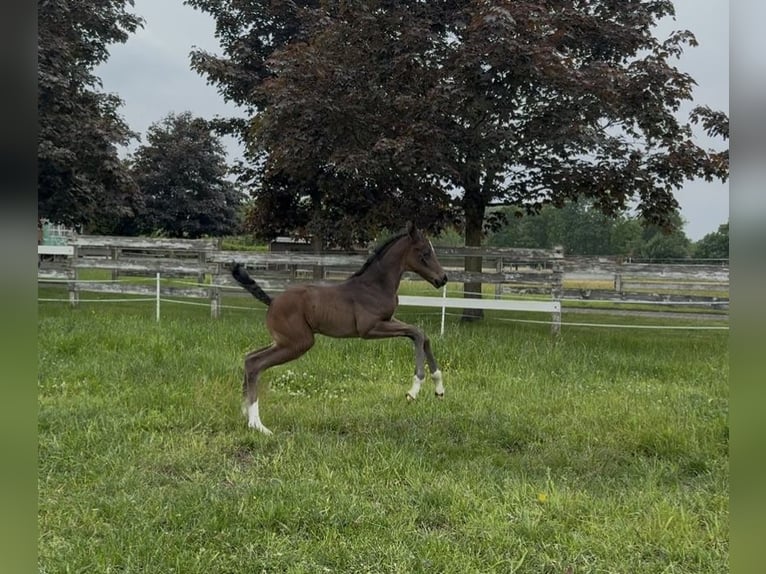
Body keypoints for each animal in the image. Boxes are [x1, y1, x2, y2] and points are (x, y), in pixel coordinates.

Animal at [231, 222, 449, 434]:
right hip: (298, 343)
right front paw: (414, 390)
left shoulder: (389, 320)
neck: (375, 285)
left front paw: (439, 388)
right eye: (425, 253)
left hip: (283, 341)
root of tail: (272, 301)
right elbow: (416, 333)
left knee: (250, 359)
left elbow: (422, 335)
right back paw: (257, 425)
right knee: (256, 364)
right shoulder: (369, 329)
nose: (443, 278)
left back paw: (245, 414)